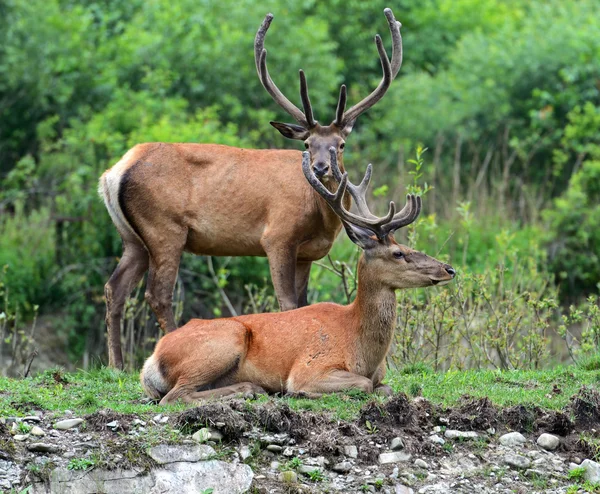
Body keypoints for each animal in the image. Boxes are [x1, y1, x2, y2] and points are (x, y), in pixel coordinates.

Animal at [101, 8, 404, 370]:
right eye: (308, 143)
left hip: (133, 238)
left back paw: (116, 365)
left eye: (340, 144)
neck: (320, 217)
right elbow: (287, 302)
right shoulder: (277, 236)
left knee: (114, 288)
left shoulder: (307, 253)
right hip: (165, 227)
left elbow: (303, 302)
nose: (320, 168)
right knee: (158, 294)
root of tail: (114, 173)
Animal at [141, 150, 458, 402]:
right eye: (398, 253)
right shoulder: (310, 366)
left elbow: (385, 387)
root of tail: (151, 361)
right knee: (175, 395)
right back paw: (250, 389)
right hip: (224, 340)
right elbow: (363, 385)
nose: (449, 269)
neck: (362, 349)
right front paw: (301, 393)